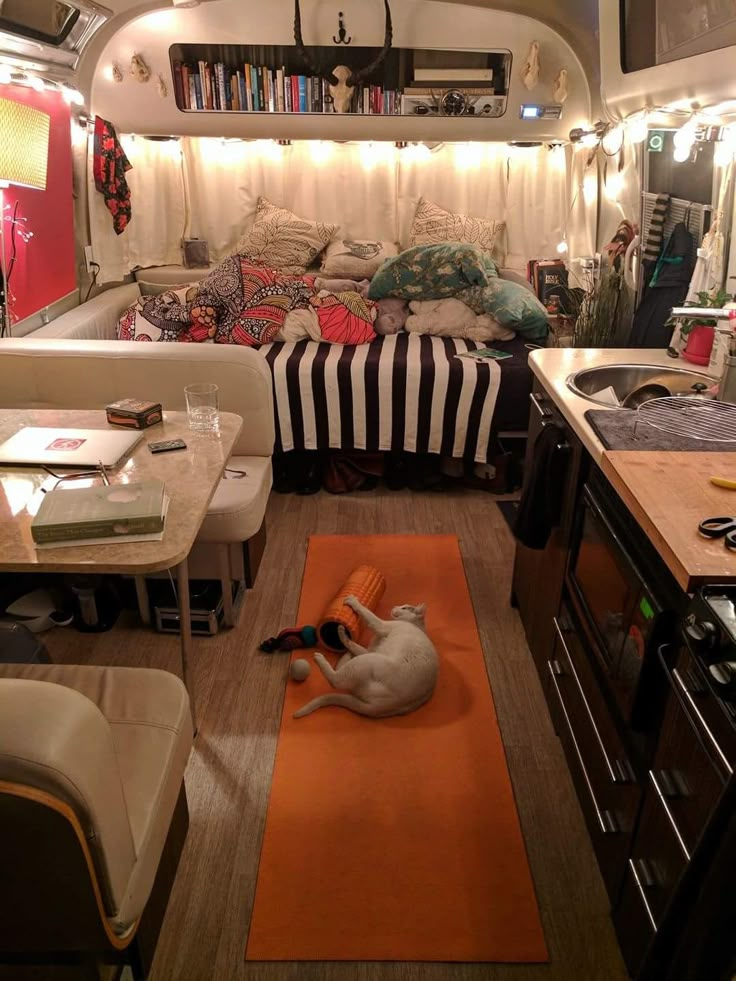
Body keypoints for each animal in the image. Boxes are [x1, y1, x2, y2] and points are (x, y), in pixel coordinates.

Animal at [294, 592, 436, 716]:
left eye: (405, 608)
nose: (395, 606)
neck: (415, 625)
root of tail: (387, 707)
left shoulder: (381, 626)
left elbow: (368, 614)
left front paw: (353, 601)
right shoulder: (370, 649)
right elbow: (354, 645)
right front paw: (344, 637)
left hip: (368, 661)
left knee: (336, 680)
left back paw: (320, 658)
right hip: (367, 659)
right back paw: (343, 642)